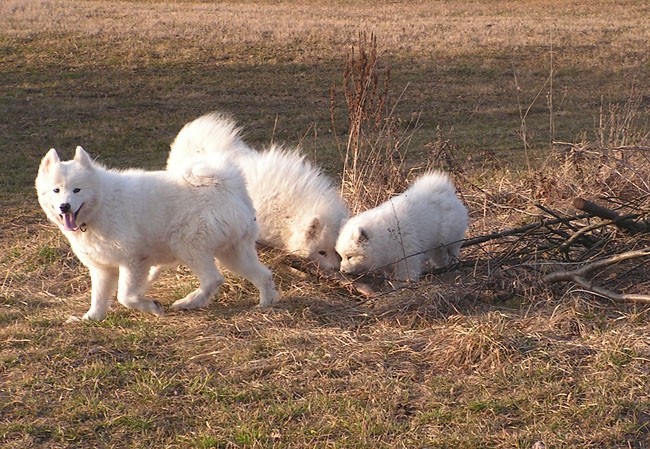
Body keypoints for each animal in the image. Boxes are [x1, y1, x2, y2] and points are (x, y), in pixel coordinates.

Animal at [35, 146, 278, 318]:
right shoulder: (102, 269)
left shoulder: (133, 260)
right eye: (56, 190)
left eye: (77, 190)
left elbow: (125, 296)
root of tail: (226, 185)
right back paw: (266, 304)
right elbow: (99, 298)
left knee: (213, 279)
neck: (100, 204)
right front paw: (90, 318)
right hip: (233, 253)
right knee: (263, 275)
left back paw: (188, 302)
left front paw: (152, 306)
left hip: (188, 245)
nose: (64, 206)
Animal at [334, 171, 466, 280]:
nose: (342, 270)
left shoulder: (407, 255)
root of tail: (445, 192)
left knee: (451, 250)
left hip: (447, 239)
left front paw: (403, 284)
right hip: (435, 245)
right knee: (440, 257)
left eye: (350, 257)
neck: (383, 237)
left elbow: (405, 273)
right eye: (341, 256)